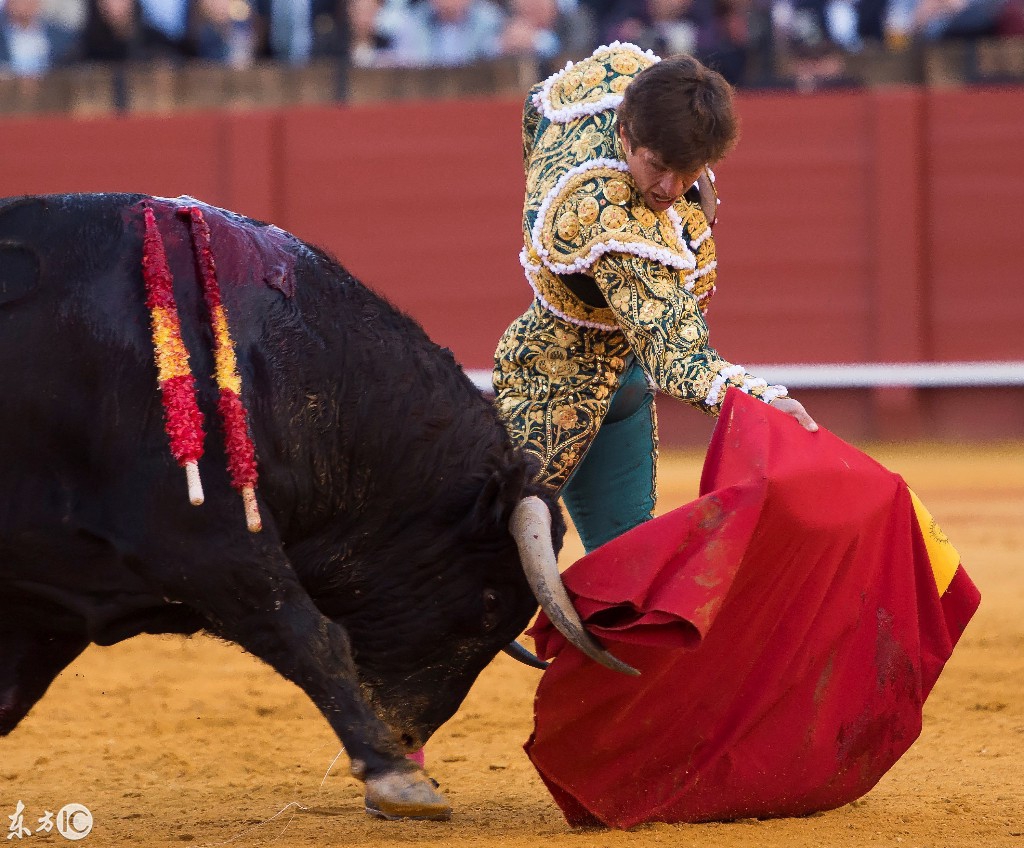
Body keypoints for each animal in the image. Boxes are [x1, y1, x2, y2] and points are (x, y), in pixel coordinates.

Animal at [0, 193, 569, 823]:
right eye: (490, 603)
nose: (405, 738)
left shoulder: (47, 601)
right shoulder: (204, 538)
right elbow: (309, 636)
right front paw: (398, 778)